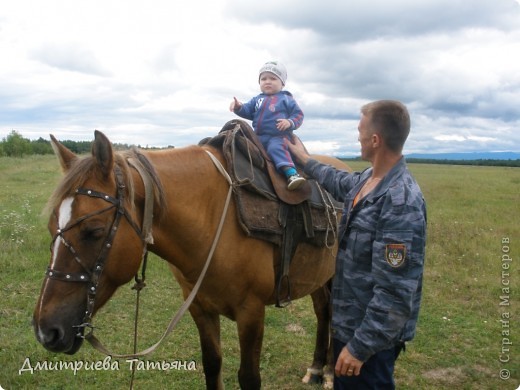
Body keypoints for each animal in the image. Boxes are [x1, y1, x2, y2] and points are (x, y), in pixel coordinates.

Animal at [32, 130, 346, 386]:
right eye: (51, 227)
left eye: (93, 231)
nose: (46, 331)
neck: (215, 218)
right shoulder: (199, 308)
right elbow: (212, 365)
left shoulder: (252, 312)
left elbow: (248, 377)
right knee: (323, 311)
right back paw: (317, 369)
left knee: (333, 313)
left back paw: (330, 372)